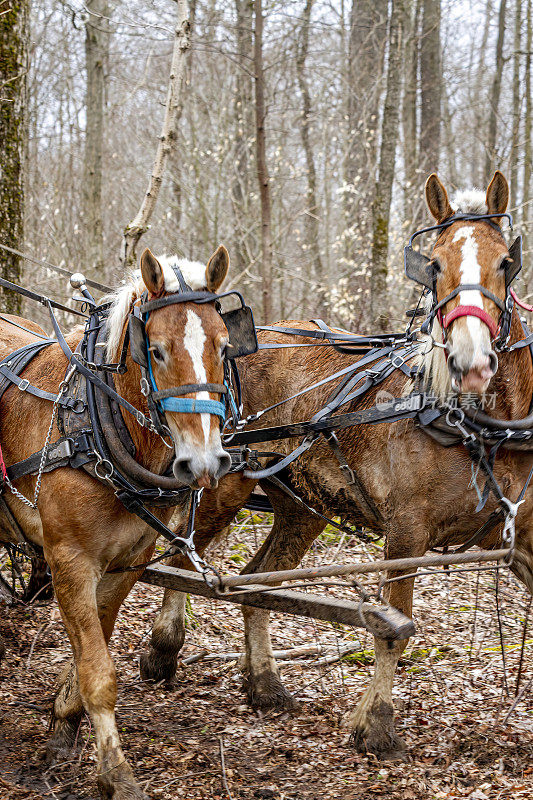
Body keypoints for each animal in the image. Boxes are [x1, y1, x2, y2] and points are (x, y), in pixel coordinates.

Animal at [1, 245, 232, 800]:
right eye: (158, 351)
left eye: (224, 347)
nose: (205, 462)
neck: (98, 424)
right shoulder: (69, 560)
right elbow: (100, 672)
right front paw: (117, 773)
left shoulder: (128, 561)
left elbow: (94, 648)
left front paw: (63, 718)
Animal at [142, 172, 532, 760]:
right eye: (434, 264)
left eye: (506, 262)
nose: (471, 362)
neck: (481, 423)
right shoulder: (406, 533)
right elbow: (394, 629)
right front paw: (376, 726)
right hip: (223, 481)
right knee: (184, 561)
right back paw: (163, 648)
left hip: (304, 507)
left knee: (254, 581)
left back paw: (265, 684)